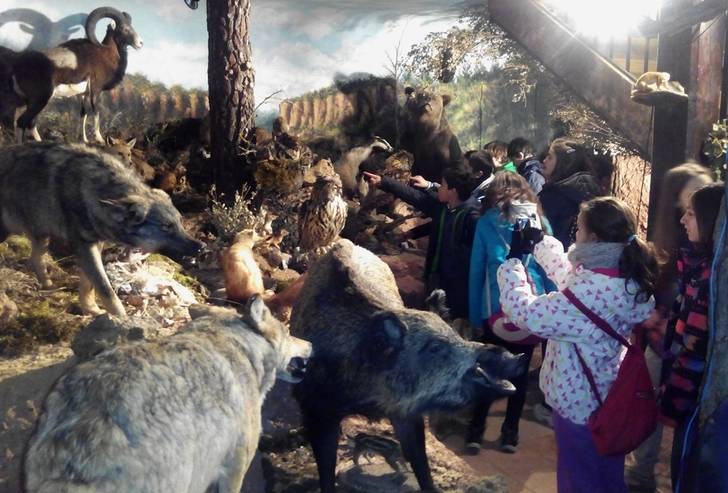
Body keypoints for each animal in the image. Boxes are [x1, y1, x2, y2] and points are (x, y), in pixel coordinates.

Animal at [0, 141, 202, 316]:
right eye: (166, 227)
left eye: (180, 222)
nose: (202, 247)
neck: (92, 190)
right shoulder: (84, 247)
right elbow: (106, 289)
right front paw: (122, 319)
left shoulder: (95, 244)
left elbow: (89, 285)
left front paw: (91, 310)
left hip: (42, 235)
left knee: (34, 258)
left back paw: (48, 285)